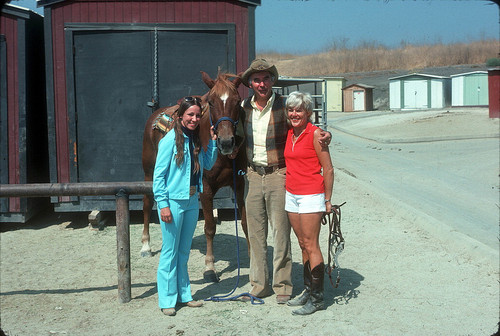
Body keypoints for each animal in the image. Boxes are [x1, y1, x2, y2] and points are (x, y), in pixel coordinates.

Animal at [140, 72, 247, 282]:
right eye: (211, 103)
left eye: (237, 101)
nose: (226, 142)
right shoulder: (206, 189)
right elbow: (210, 227)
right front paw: (210, 267)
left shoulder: (239, 185)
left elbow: (246, 223)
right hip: (149, 172)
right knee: (147, 203)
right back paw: (146, 246)